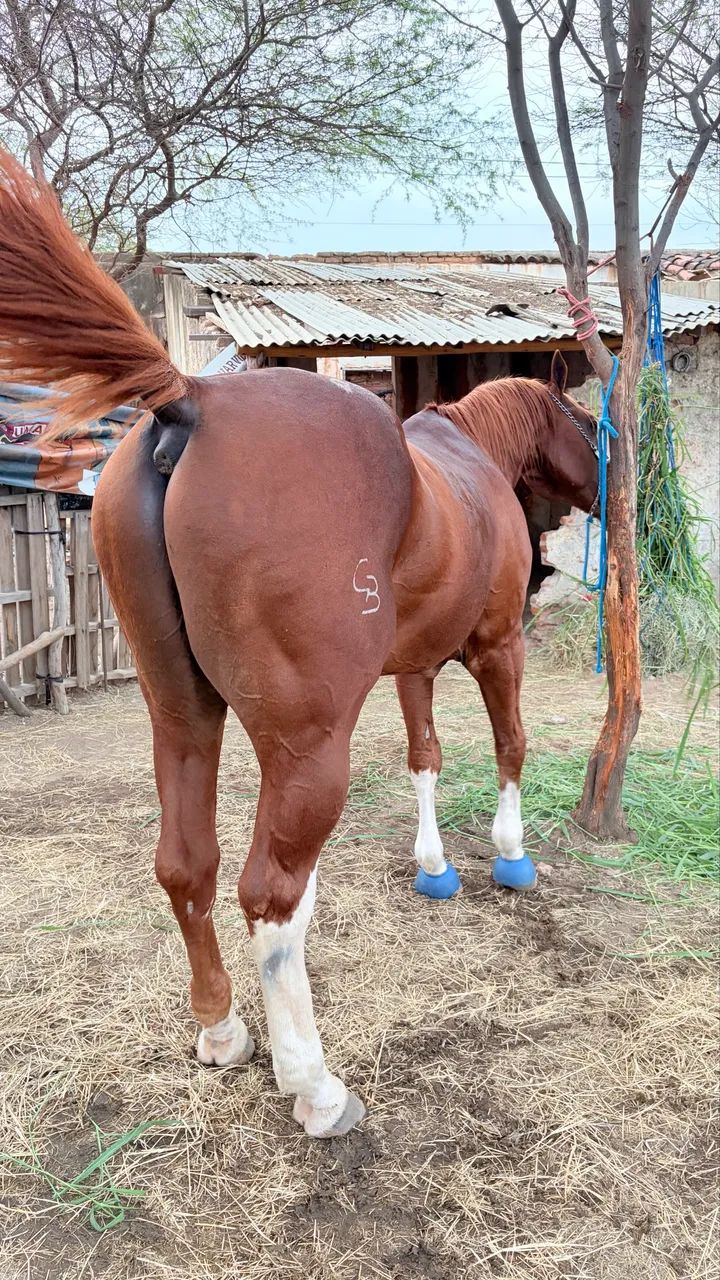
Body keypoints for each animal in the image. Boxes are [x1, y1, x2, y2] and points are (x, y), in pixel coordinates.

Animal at [0, 151, 599, 1139]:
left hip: (183, 717)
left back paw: (222, 1031)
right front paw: (510, 857)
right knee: (270, 897)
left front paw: (434, 868)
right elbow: (511, 744)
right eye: (588, 426)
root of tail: (194, 396)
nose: (615, 494)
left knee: (188, 866)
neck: (467, 463)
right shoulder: (494, 648)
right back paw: (311, 1080)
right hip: (309, 748)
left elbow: (425, 757)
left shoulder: (412, 667)